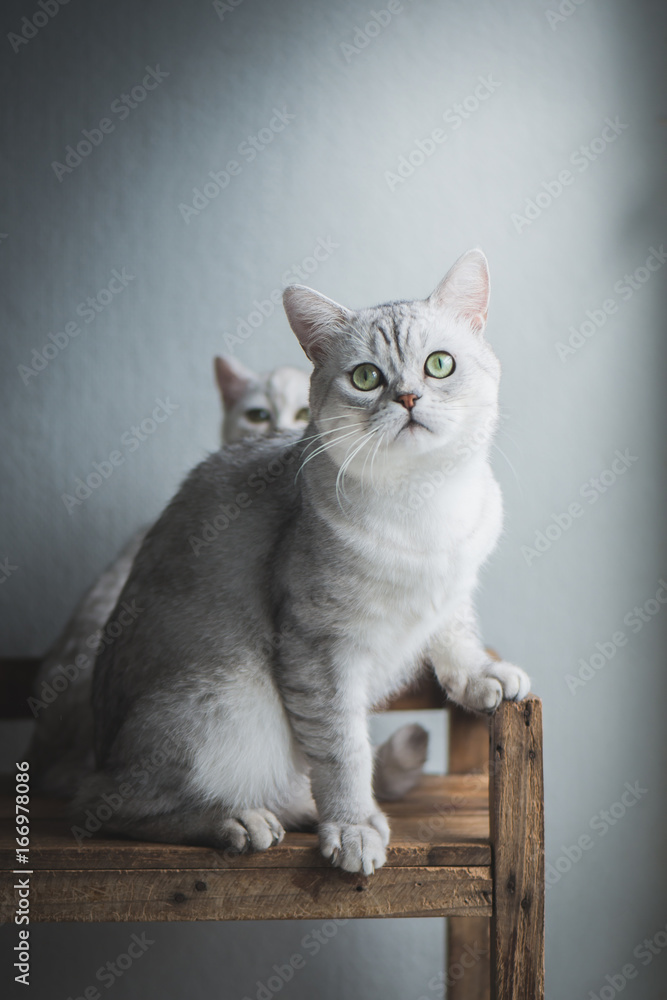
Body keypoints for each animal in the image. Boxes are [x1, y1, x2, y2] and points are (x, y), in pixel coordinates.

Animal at [75, 252, 528, 876]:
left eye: (439, 365)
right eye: (366, 377)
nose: (409, 398)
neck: (424, 507)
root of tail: (98, 755)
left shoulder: (449, 589)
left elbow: (455, 633)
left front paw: (481, 673)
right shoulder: (319, 648)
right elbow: (343, 750)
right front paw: (354, 826)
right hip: (228, 704)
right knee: (111, 809)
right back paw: (236, 821)